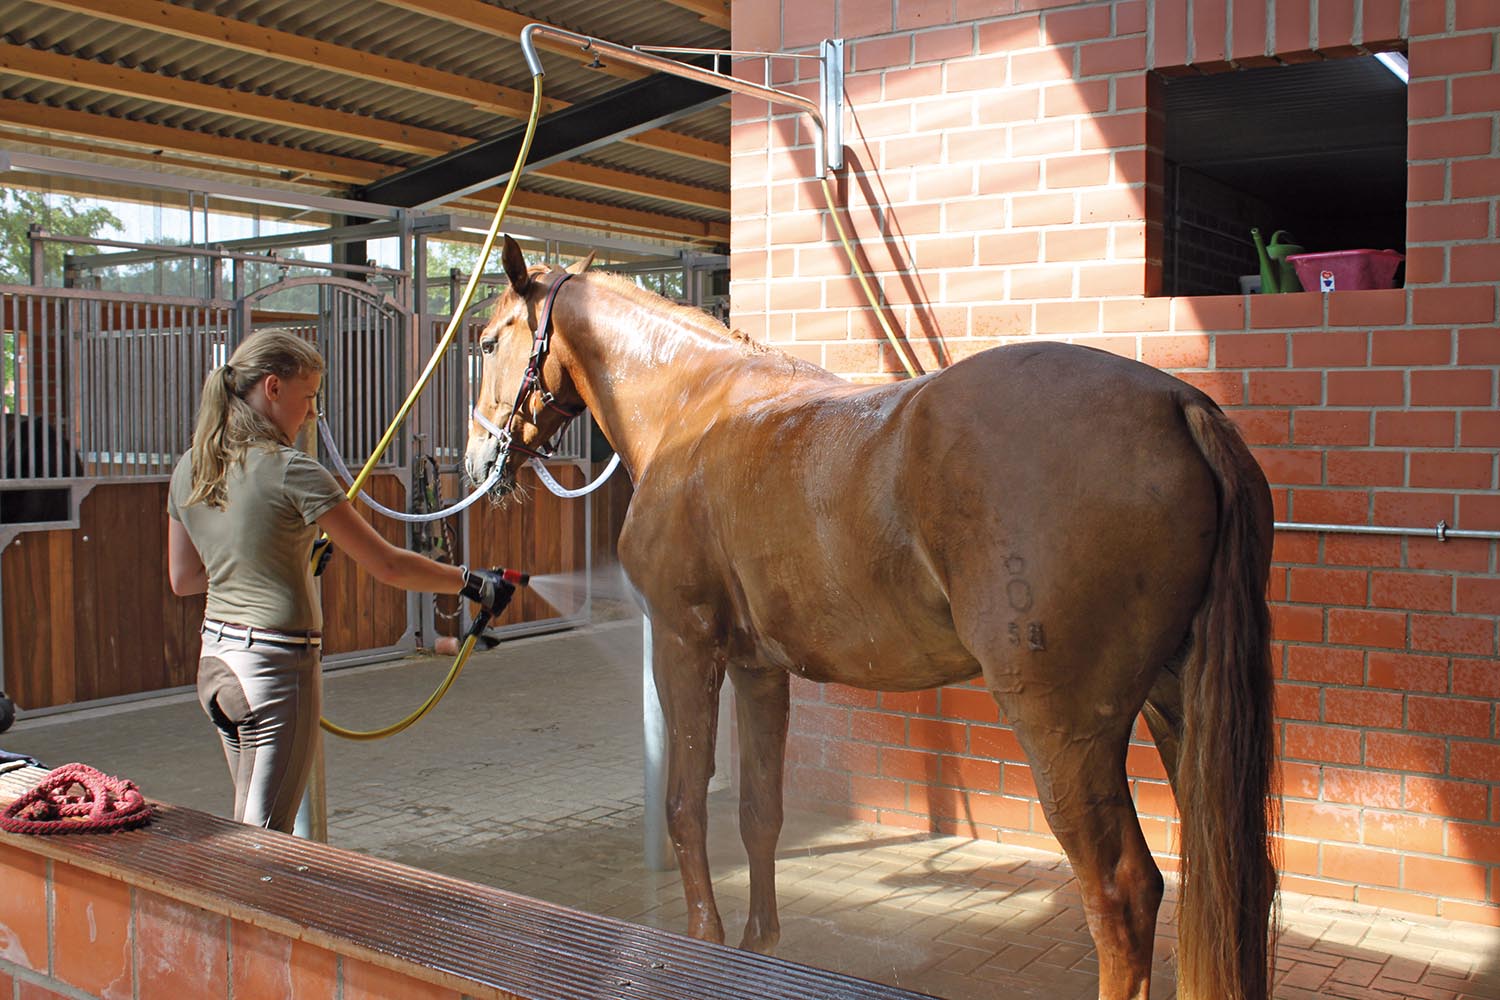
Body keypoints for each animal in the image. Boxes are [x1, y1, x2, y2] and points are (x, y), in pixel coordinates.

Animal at [465, 236, 1278, 1000]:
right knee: (1235, 880)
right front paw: (759, 948)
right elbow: (760, 810)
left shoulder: (684, 645)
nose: (477, 461)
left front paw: (704, 945)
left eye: (487, 341)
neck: (693, 407)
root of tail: (1177, 405)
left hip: (1065, 731)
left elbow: (686, 805)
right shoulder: (759, 669)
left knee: (1123, 893)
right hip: (1175, 708)